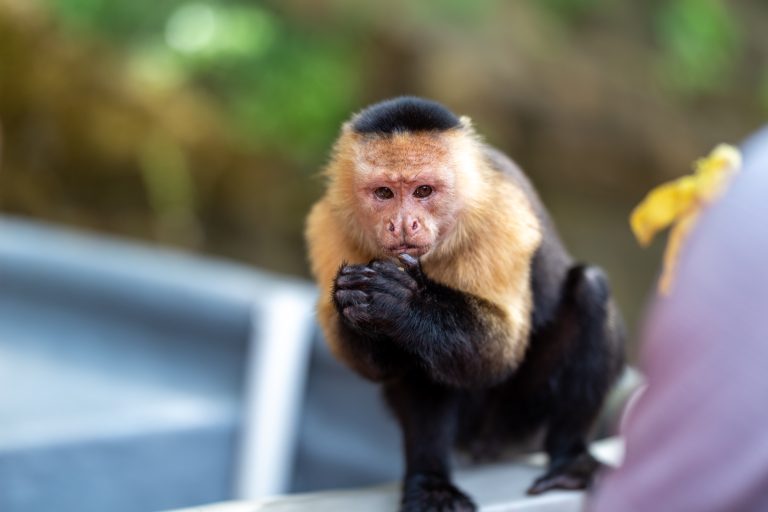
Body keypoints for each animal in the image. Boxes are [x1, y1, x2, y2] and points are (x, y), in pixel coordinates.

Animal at [304, 97, 624, 512]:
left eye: (423, 191)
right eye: (384, 193)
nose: (403, 224)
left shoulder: (499, 217)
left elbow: (499, 353)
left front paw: (402, 303)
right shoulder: (330, 225)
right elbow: (378, 365)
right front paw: (358, 301)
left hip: (518, 419)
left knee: (590, 289)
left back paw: (571, 460)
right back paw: (431, 479)